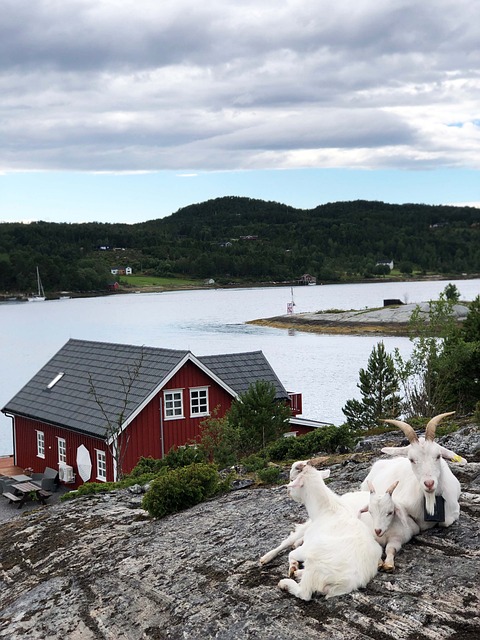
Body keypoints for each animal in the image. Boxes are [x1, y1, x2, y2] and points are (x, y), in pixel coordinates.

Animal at [276, 460, 380, 600]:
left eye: (293, 480)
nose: (287, 490)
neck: (326, 510)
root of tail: (347, 582)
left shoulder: (306, 546)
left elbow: (291, 553)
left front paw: (292, 567)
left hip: (314, 563)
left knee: (304, 593)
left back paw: (286, 583)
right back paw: (299, 573)